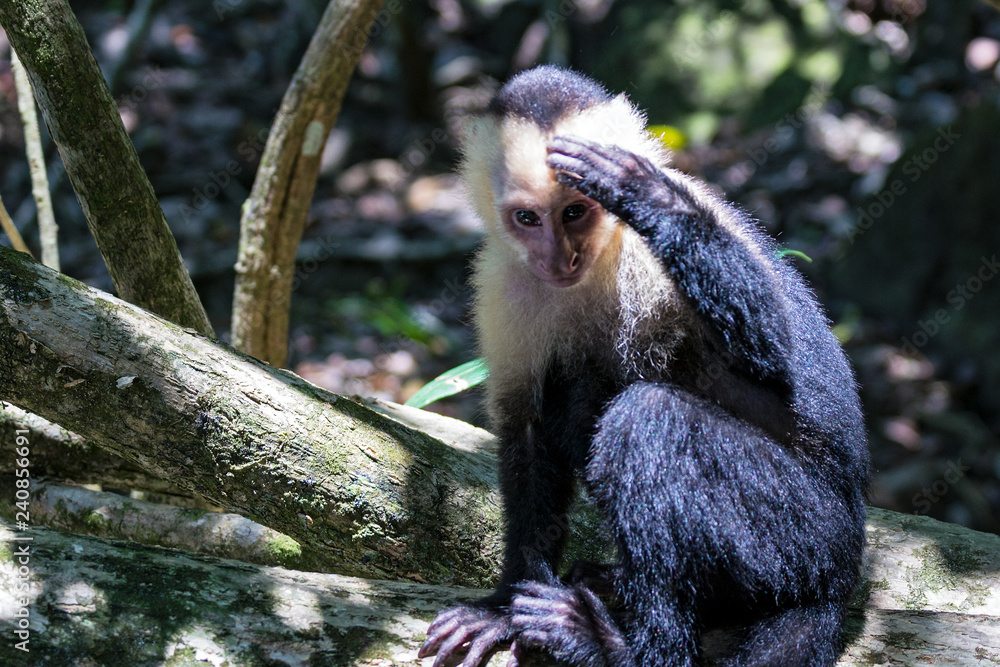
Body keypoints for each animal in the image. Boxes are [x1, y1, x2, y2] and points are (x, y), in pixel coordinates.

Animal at [418, 65, 869, 667]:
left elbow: (774, 356)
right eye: (527, 218)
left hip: (811, 536)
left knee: (647, 421)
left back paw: (627, 648)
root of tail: (844, 574)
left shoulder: (651, 255)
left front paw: (645, 192)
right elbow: (528, 429)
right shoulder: (504, 282)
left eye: (575, 211)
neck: (600, 259)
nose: (559, 259)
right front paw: (503, 604)